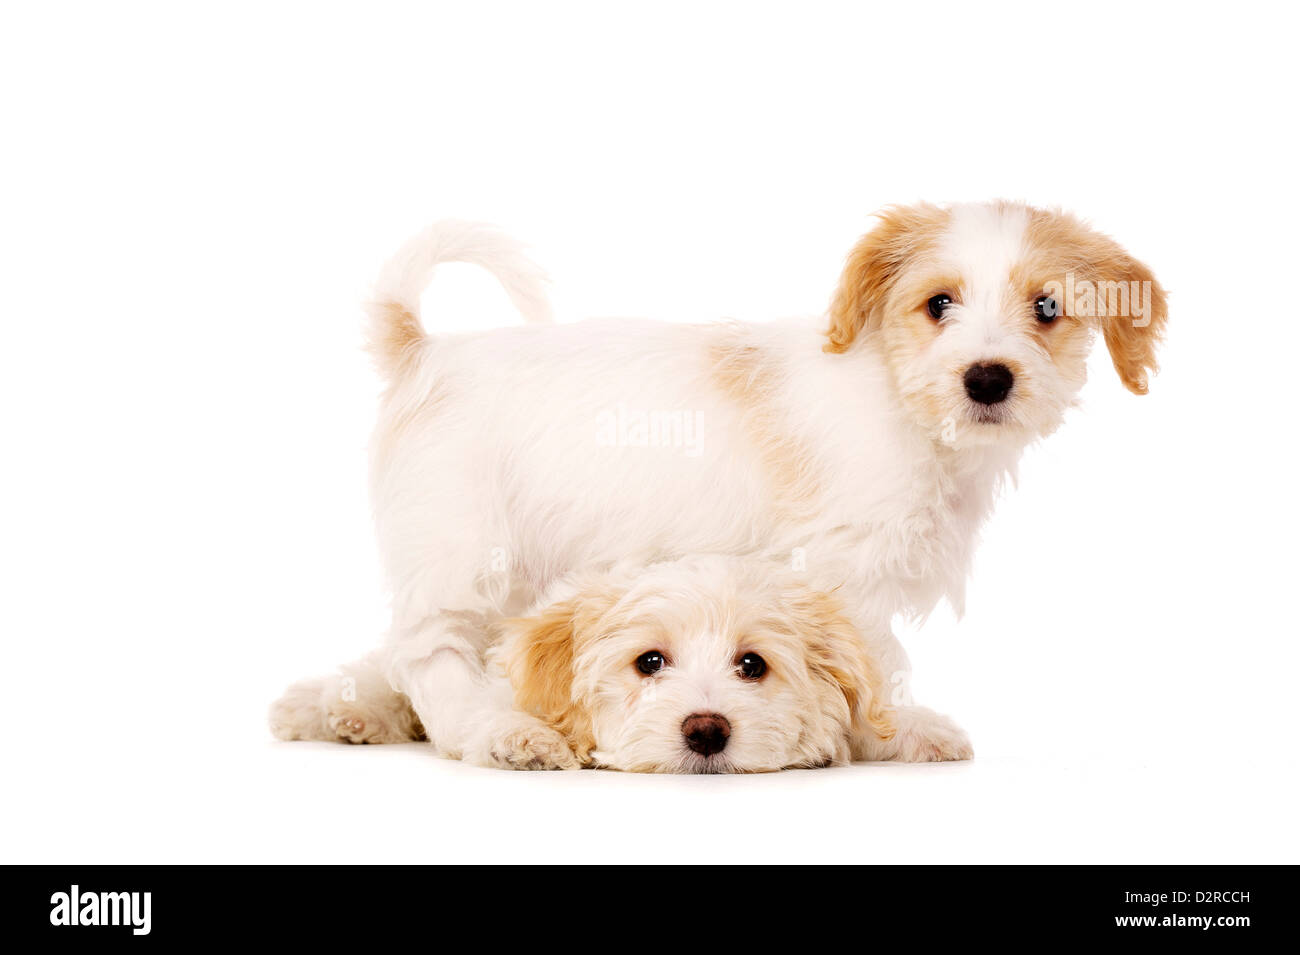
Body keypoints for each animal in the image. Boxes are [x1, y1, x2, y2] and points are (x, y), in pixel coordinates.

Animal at [269, 556, 930, 774]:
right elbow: (483, 715)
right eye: (650, 661)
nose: (707, 731)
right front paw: (523, 741)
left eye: (752, 664)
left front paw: (921, 734)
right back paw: (333, 710)